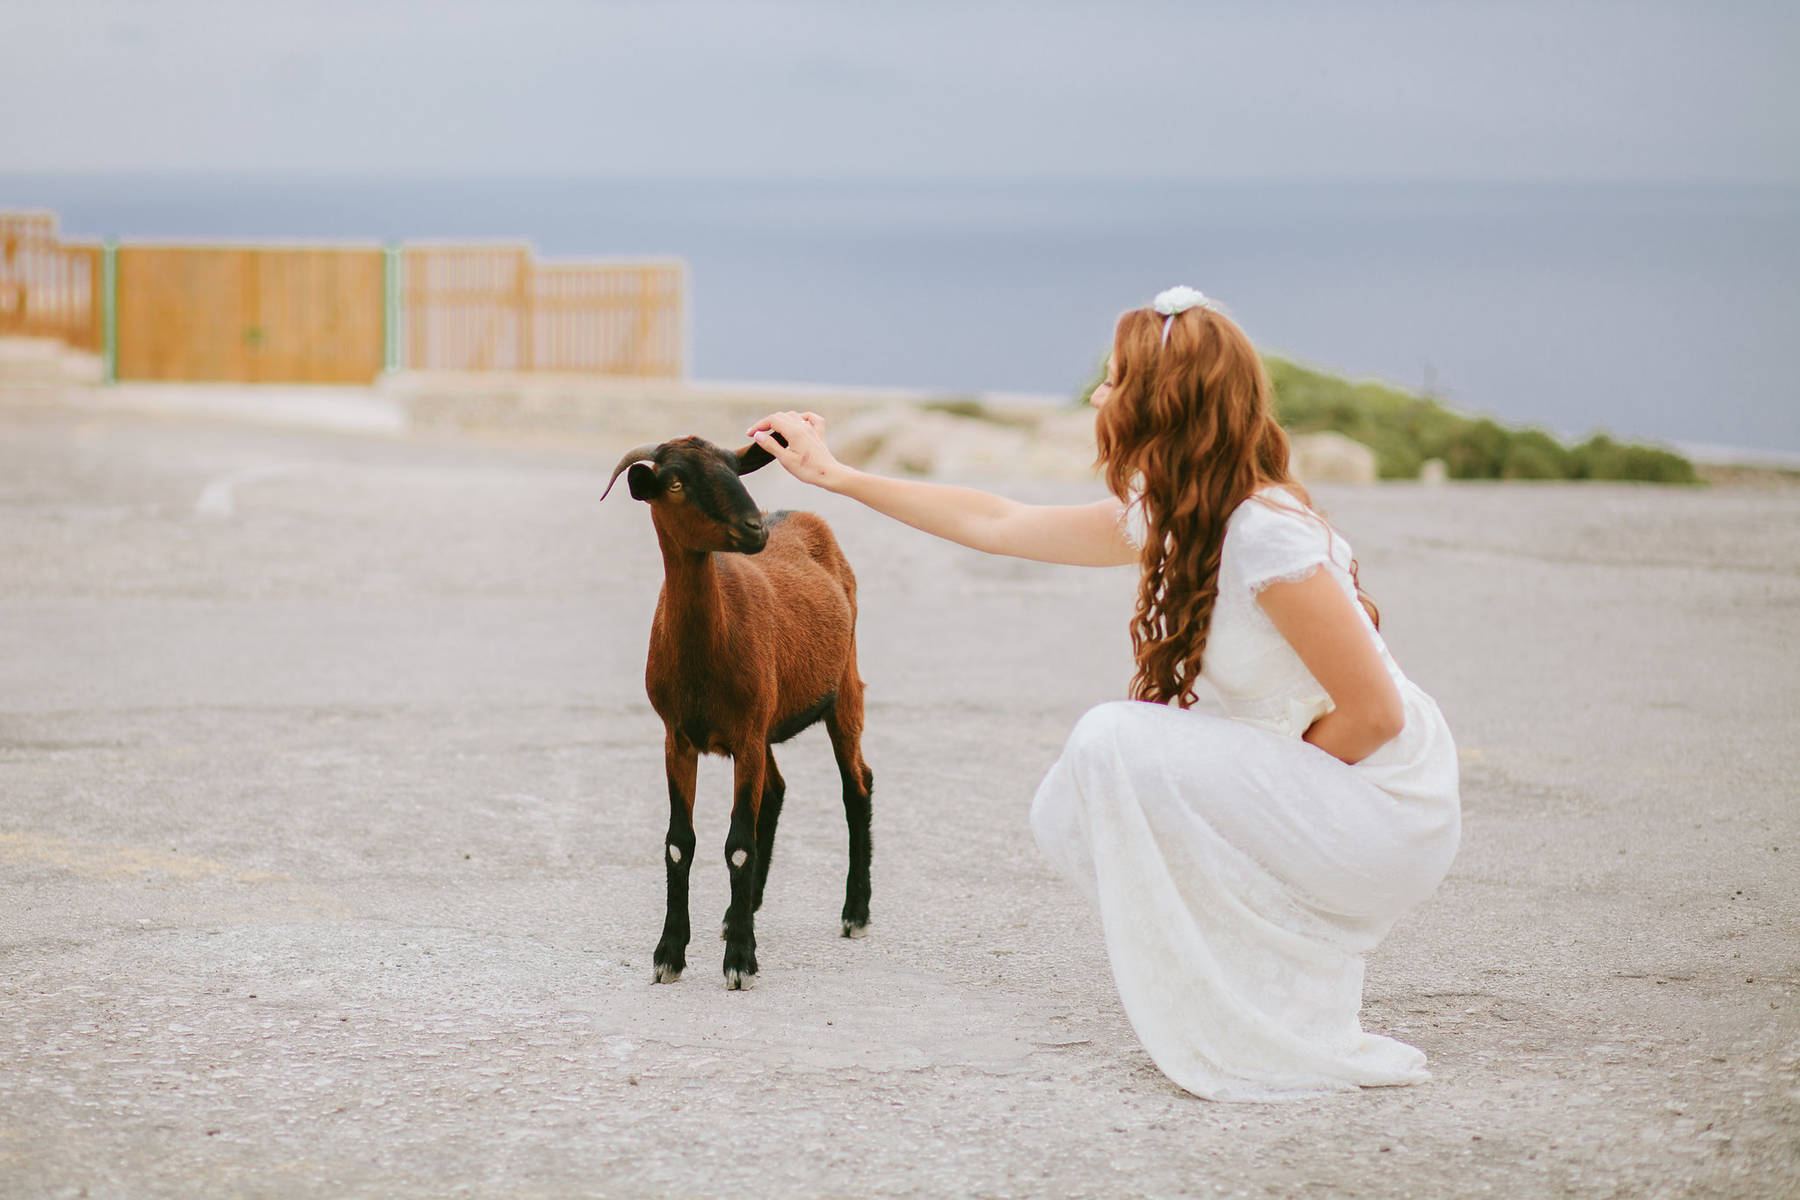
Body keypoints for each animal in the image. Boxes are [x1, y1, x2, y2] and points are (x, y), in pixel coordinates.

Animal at [608, 437, 874, 993]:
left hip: (842, 688)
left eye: (734, 468)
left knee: (856, 785)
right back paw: (740, 912)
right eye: (676, 482)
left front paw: (740, 962)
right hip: (764, 725)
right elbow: (679, 844)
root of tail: (801, 516)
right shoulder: (678, 738)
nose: (754, 528)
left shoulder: (747, 734)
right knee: (774, 791)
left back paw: (855, 913)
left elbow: (737, 846)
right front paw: (669, 956)